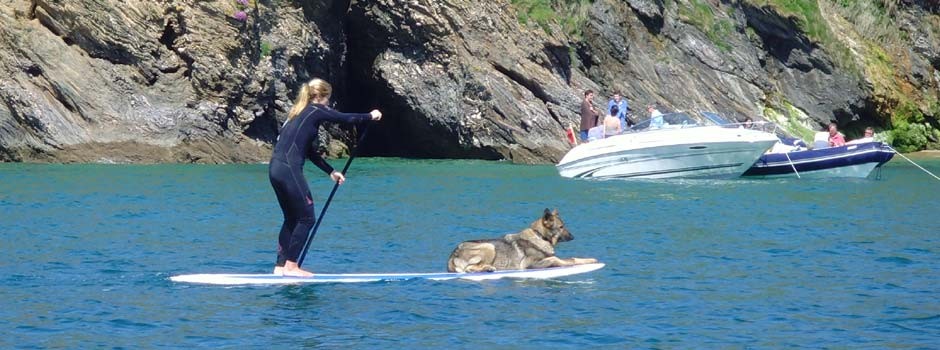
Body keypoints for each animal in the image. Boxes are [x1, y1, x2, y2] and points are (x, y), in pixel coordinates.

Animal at [446, 208, 596, 274]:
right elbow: (562, 260)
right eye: (561, 227)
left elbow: (571, 258)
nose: (573, 237)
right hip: (489, 246)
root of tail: (452, 256)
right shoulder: (529, 264)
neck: (539, 235)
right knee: (469, 269)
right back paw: (488, 268)